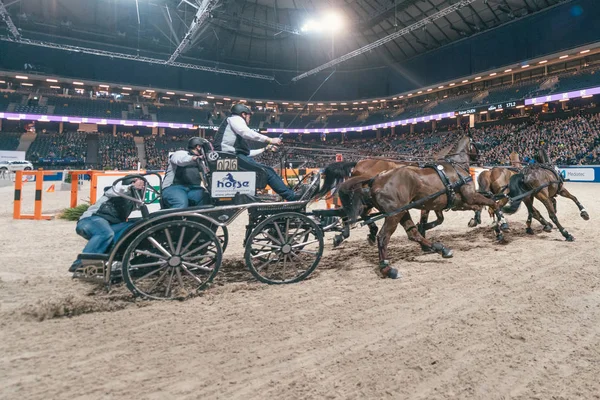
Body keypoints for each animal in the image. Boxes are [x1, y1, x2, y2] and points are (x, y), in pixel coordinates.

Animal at [338, 134, 506, 278]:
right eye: (477, 144)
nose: (481, 159)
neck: (455, 168)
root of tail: (375, 179)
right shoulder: (470, 197)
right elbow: (491, 202)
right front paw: (502, 223)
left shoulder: (456, 202)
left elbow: (471, 209)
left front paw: (480, 222)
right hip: (394, 214)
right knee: (383, 236)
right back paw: (387, 268)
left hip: (402, 211)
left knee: (411, 233)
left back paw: (441, 249)